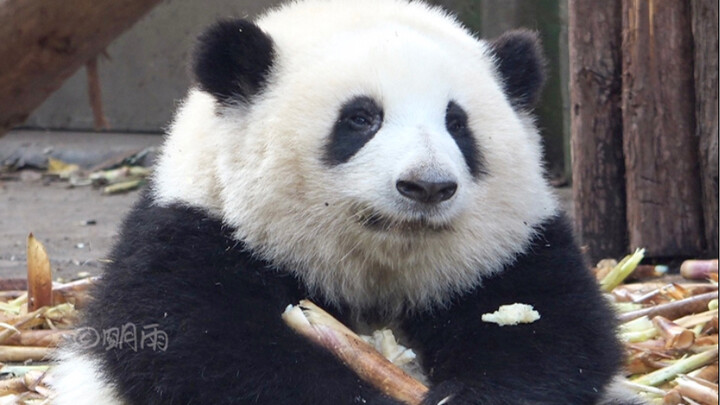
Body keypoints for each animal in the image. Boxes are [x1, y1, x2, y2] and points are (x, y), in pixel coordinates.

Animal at [51, 1, 645, 404]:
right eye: (361, 118)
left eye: (457, 124)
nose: (427, 186)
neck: (373, 266)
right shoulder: (194, 232)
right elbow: (200, 348)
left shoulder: (515, 249)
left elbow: (557, 336)